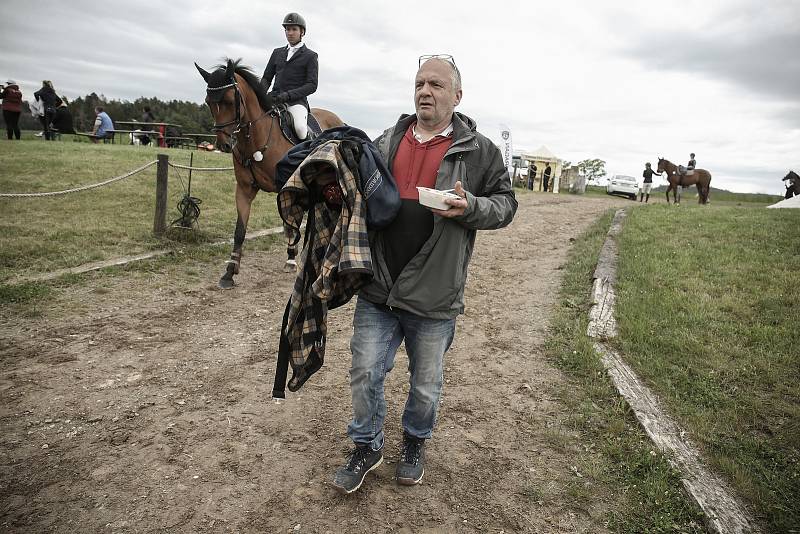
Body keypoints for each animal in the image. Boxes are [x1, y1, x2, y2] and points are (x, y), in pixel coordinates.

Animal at [197, 58, 344, 288]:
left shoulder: (286, 187)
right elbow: (240, 231)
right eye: (208, 102)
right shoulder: (244, 189)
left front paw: (291, 259)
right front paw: (229, 272)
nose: (224, 144)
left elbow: (290, 224)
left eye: (229, 101)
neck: (256, 139)